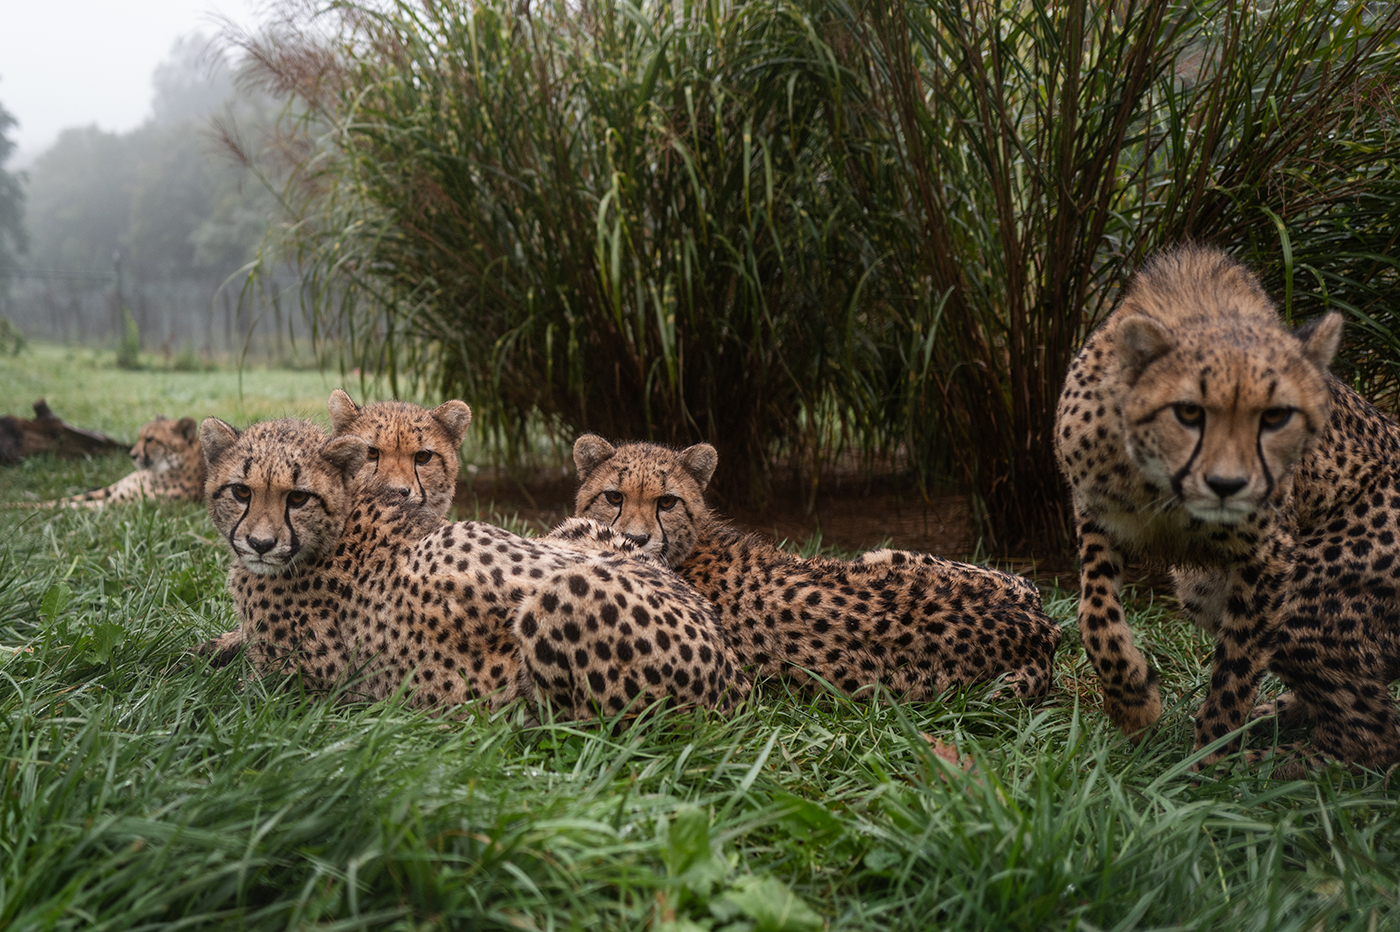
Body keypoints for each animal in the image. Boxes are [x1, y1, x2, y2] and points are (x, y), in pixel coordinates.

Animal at [15, 414, 204, 509]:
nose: (132, 455)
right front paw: (18, 504)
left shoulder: (114, 503)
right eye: (140, 436)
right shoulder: (109, 490)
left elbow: (72, 506)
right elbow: (64, 500)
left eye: (150, 439)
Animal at [201, 417, 750, 713]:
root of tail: (735, 678)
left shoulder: (290, 688)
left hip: (561, 596)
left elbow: (225, 694)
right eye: (241, 491)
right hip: (578, 531)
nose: (259, 544)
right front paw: (216, 643)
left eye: (297, 497)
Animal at [1058, 243, 1400, 772]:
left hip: (1305, 601)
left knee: (1374, 738)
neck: (1165, 490)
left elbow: (1234, 672)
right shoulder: (1096, 514)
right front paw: (1133, 702)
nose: (1227, 484)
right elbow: (1094, 614)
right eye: (1188, 412)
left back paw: (1261, 762)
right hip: (1201, 589)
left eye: (1276, 416)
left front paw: (1201, 765)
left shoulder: (1271, 557)